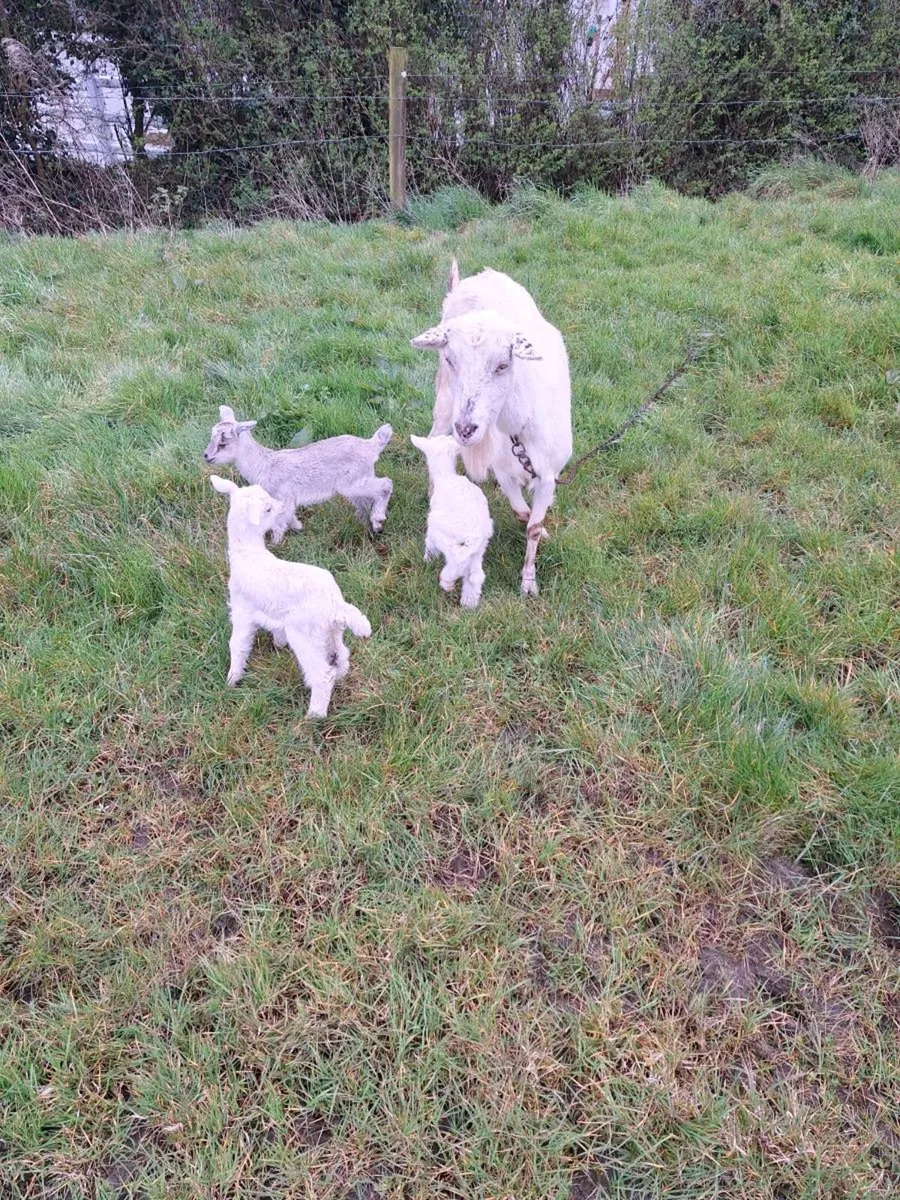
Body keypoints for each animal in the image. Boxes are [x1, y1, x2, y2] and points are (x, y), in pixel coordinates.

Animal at [203, 406, 393, 543]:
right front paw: (299, 528)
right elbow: (290, 519)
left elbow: (278, 523)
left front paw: (275, 544)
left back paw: (377, 521)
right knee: (365, 501)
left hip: (352, 482)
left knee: (385, 485)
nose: (206, 456)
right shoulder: (288, 501)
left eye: (223, 443)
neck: (263, 465)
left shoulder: (282, 498)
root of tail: (371, 445)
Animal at [209, 475, 371, 718]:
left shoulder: (241, 610)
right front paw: (278, 644)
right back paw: (340, 676)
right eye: (267, 508)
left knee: (323, 675)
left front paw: (232, 679)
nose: (283, 506)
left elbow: (237, 644)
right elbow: (275, 629)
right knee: (341, 655)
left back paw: (314, 716)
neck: (247, 552)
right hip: (331, 633)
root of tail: (335, 605)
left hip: (305, 635)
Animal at [410, 433, 494, 608]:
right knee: (476, 575)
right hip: (479, 548)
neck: (445, 475)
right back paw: (469, 603)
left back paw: (446, 581)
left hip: (445, 536)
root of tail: (473, 533)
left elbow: (429, 544)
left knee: (455, 560)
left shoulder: (432, 529)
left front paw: (427, 560)